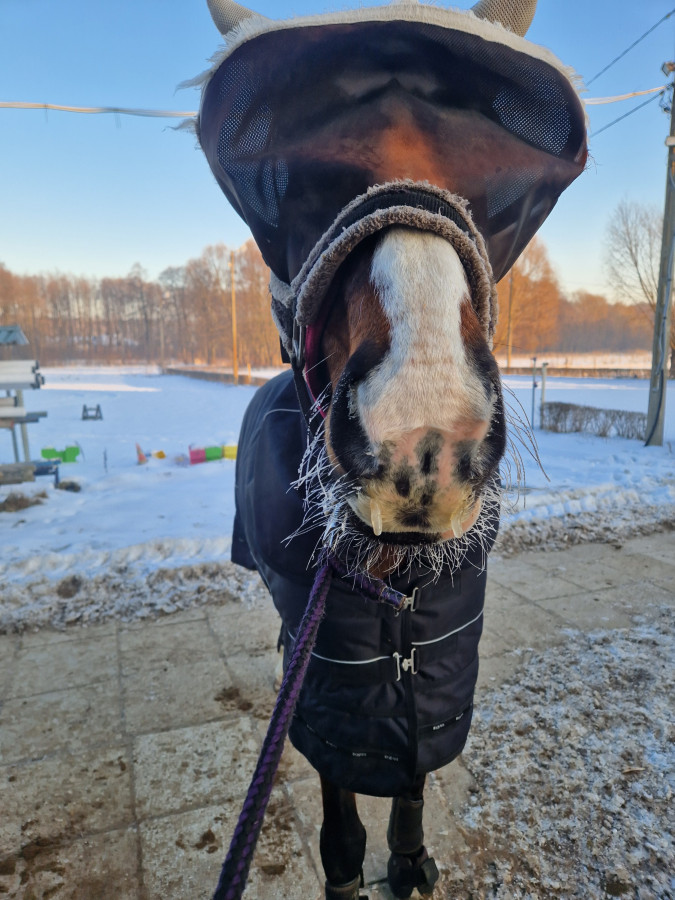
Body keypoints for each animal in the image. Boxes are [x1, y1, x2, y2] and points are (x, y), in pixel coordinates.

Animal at [195, 1, 587, 896]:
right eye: (297, 191)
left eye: (498, 195)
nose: (424, 438)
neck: (390, 580)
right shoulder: (327, 671)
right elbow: (337, 785)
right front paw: (348, 866)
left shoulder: (436, 668)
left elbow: (410, 772)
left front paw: (406, 857)